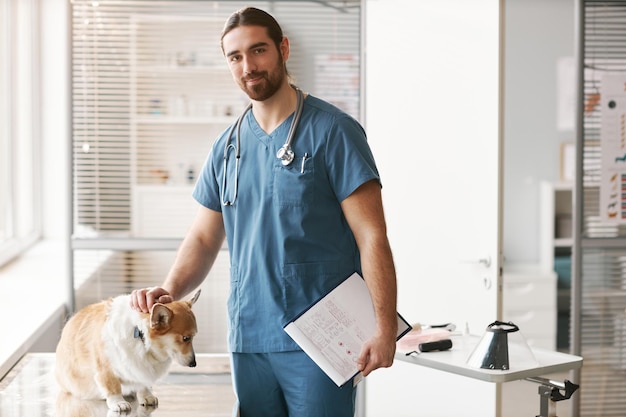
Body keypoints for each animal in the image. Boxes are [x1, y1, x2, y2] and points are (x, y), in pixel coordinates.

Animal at [55, 290, 199, 410]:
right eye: (186, 338)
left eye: (193, 337)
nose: (194, 364)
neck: (140, 334)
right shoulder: (105, 369)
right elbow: (112, 386)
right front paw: (118, 403)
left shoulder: (140, 369)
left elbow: (142, 383)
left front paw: (146, 396)